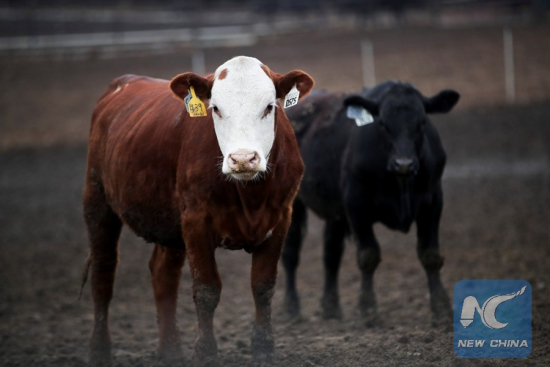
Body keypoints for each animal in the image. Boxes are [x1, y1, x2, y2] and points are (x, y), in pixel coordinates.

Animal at [82, 56, 314, 366]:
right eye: (215, 108)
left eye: (269, 106)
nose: (243, 159)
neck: (249, 196)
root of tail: (122, 83)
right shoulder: (196, 222)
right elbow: (206, 290)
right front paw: (205, 353)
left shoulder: (280, 218)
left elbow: (263, 286)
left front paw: (264, 349)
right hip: (97, 199)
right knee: (103, 273)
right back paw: (99, 350)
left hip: (168, 223)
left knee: (163, 274)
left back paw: (170, 351)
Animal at [284, 81, 462, 324]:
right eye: (383, 124)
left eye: (422, 123)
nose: (403, 164)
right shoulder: (356, 206)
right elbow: (368, 256)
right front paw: (368, 309)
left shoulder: (432, 202)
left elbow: (431, 255)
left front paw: (441, 308)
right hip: (293, 205)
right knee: (291, 254)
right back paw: (292, 308)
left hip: (335, 213)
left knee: (331, 254)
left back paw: (331, 308)